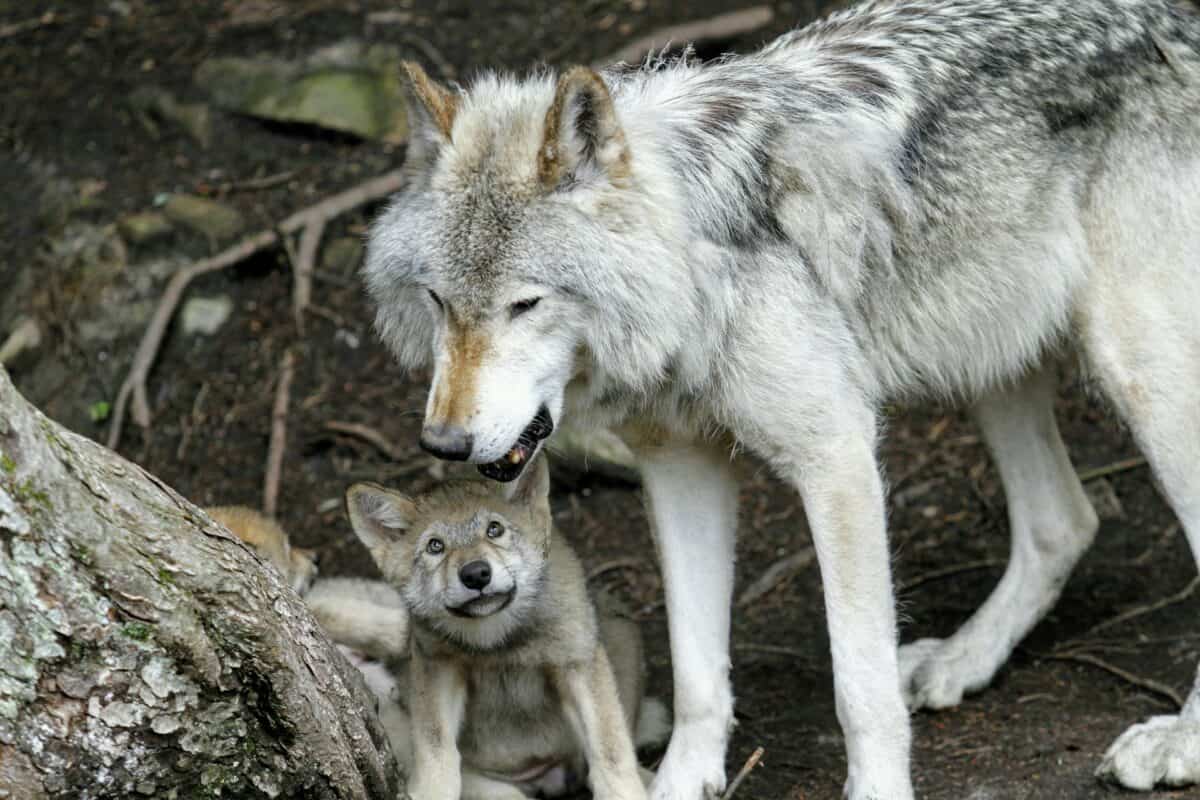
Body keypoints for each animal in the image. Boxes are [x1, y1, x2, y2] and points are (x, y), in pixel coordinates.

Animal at [324, 455, 672, 800]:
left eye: (495, 529)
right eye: (435, 546)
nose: (476, 574)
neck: (497, 641)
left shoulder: (576, 661)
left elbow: (610, 750)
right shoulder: (437, 667)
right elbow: (435, 750)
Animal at [360, 3, 1200, 796]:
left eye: (525, 305)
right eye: (438, 302)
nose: (443, 444)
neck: (696, 265)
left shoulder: (837, 457)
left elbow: (859, 686)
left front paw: (878, 789)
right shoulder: (680, 468)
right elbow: (696, 671)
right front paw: (681, 782)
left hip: (1137, 369)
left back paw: (1178, 742)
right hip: (990, 353)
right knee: (1065, 520)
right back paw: (964, 660)